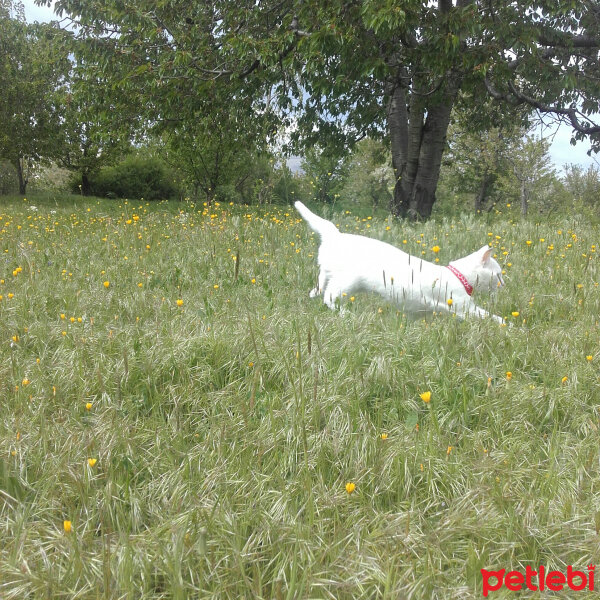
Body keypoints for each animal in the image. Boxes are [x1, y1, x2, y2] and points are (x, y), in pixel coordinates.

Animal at [296, 202, 506, 324]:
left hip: (334, 276)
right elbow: (493, 317)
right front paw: (510, 326)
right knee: (329, 297)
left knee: (321, 284)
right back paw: (345, 314)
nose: (504, 284)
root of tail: (336, 235)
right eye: (499, 274)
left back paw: (313, 293)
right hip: (347, 282)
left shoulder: (418, 311)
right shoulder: (465, 308)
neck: (458, 276)